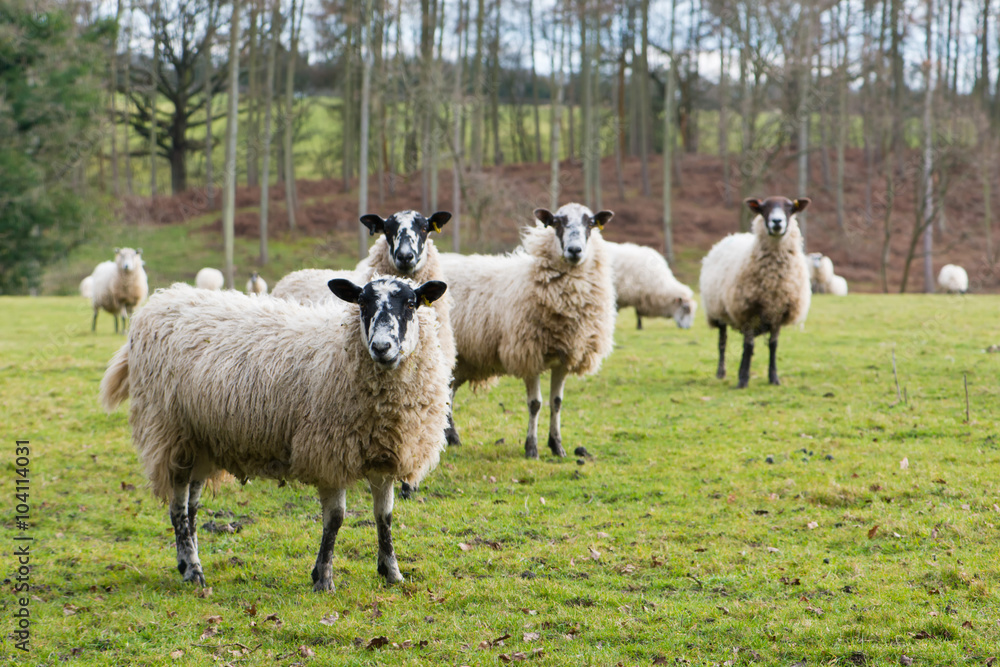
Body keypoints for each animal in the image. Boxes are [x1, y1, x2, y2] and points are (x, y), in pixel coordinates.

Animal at [99, 277, 451, 591]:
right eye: (363, 303)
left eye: (411, 303)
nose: (381, 347)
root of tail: (160, 301)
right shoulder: (327, 452)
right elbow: (335, 519)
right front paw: (323, 578)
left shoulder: (385, 455)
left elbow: (384, 517)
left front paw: (391, 572)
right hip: (172, 433)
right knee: (177, 507)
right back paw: (192, 570)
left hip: (202, 440)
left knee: (191, 506)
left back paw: (189, 563)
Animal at [438, 203, 617, 459]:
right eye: (557, 223)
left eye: (591, 223)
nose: (574, 250)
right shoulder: (529, 352)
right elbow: (535, 404)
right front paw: (531, 448)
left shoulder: (565, 357)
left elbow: (557, 402)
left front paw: (557, 445)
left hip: (462, 358)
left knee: (449, 391)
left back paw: (452, 437)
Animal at [699, 197, 811, 388]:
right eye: (764, 208)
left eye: (790, 208)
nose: (777, 222)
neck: (773, 280)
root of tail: (732, 235)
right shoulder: (747, 311)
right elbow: (748, 346)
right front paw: (743, 380)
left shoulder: (778, 312)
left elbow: (773, 345)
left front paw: (774, 378)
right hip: (718, 311)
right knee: (723, 342)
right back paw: (721, 372)